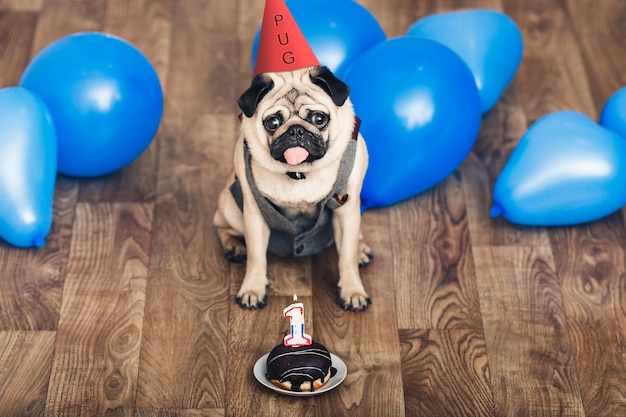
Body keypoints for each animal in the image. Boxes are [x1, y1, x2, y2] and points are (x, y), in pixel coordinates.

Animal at [214, 65, 370, 310]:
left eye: (319, 119)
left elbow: (346, 257)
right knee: (221, 225)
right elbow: (256, 257)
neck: (299, 173)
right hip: (232, 209)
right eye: (273, 123)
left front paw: (353, 291)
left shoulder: (346, 211)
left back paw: (360, 250)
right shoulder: (254, 214)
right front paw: (252, 289)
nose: (296, 130)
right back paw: (234, 247)